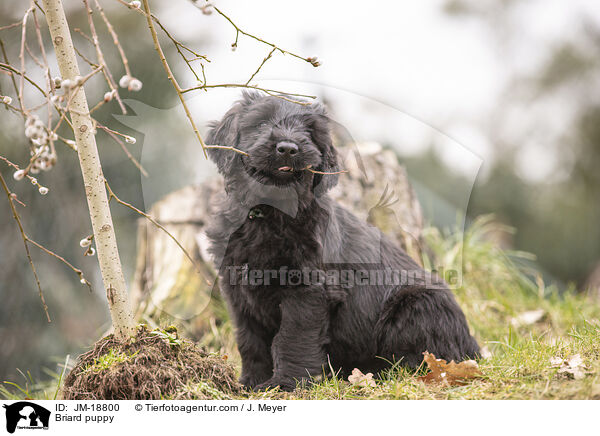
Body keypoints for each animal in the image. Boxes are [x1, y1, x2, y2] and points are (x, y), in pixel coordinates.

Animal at [206, 92, 478, 392]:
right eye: (262, 122)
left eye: (309, 132)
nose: (288, 148)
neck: (269, 214)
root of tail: (473, 349)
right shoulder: (238, 292)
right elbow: (250, 340)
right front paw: (251, 383)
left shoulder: (307, 291)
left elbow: (291, 337)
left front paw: (286, 385)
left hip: (417, 306)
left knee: (418, 359)